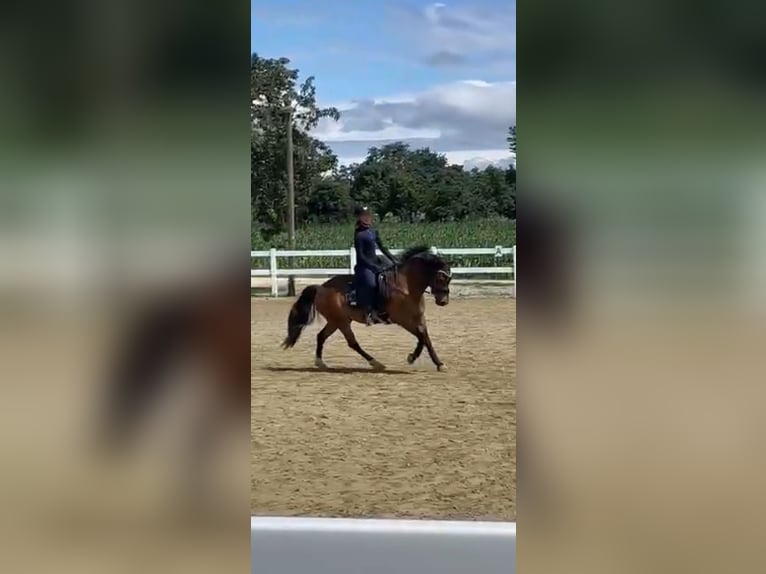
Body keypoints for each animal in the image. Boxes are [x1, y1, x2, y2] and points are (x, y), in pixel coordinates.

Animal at [282, 246, 452, 374]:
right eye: (441, 277)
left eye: (450, 278)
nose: (443, 301)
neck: (406, 286)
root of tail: (321, 287)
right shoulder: (402, 320)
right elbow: (421, 336)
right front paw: (413, 357)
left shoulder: (418, 318)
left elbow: (426, 338)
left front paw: (438, 363)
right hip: (341, 322)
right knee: (352, 343)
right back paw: (376, 363)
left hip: (336, 321)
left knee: (321, 336)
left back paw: (320, 363)